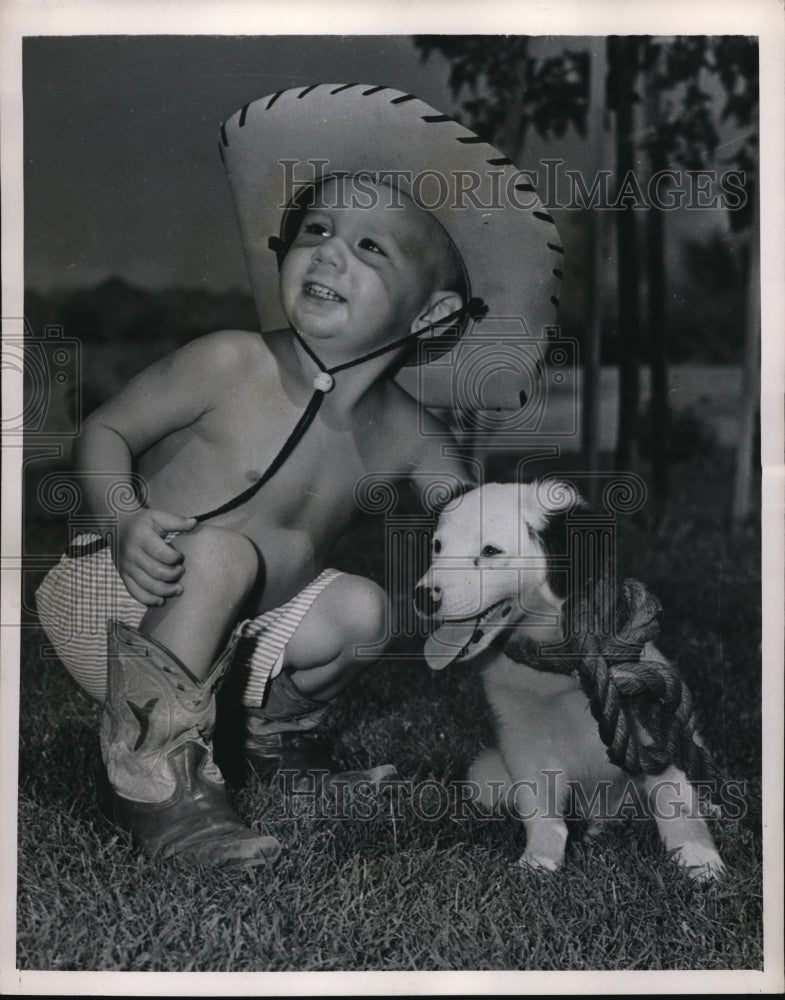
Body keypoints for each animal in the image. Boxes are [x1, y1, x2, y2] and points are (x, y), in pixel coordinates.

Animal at [416, 480, 724, 880]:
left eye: (490, 551)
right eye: (438, 546)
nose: (423, 597)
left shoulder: (651, 718)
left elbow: (676, 803)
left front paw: (700, 860)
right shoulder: (522, 740)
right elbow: (541, 812)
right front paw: (539, 861)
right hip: (484, 776)